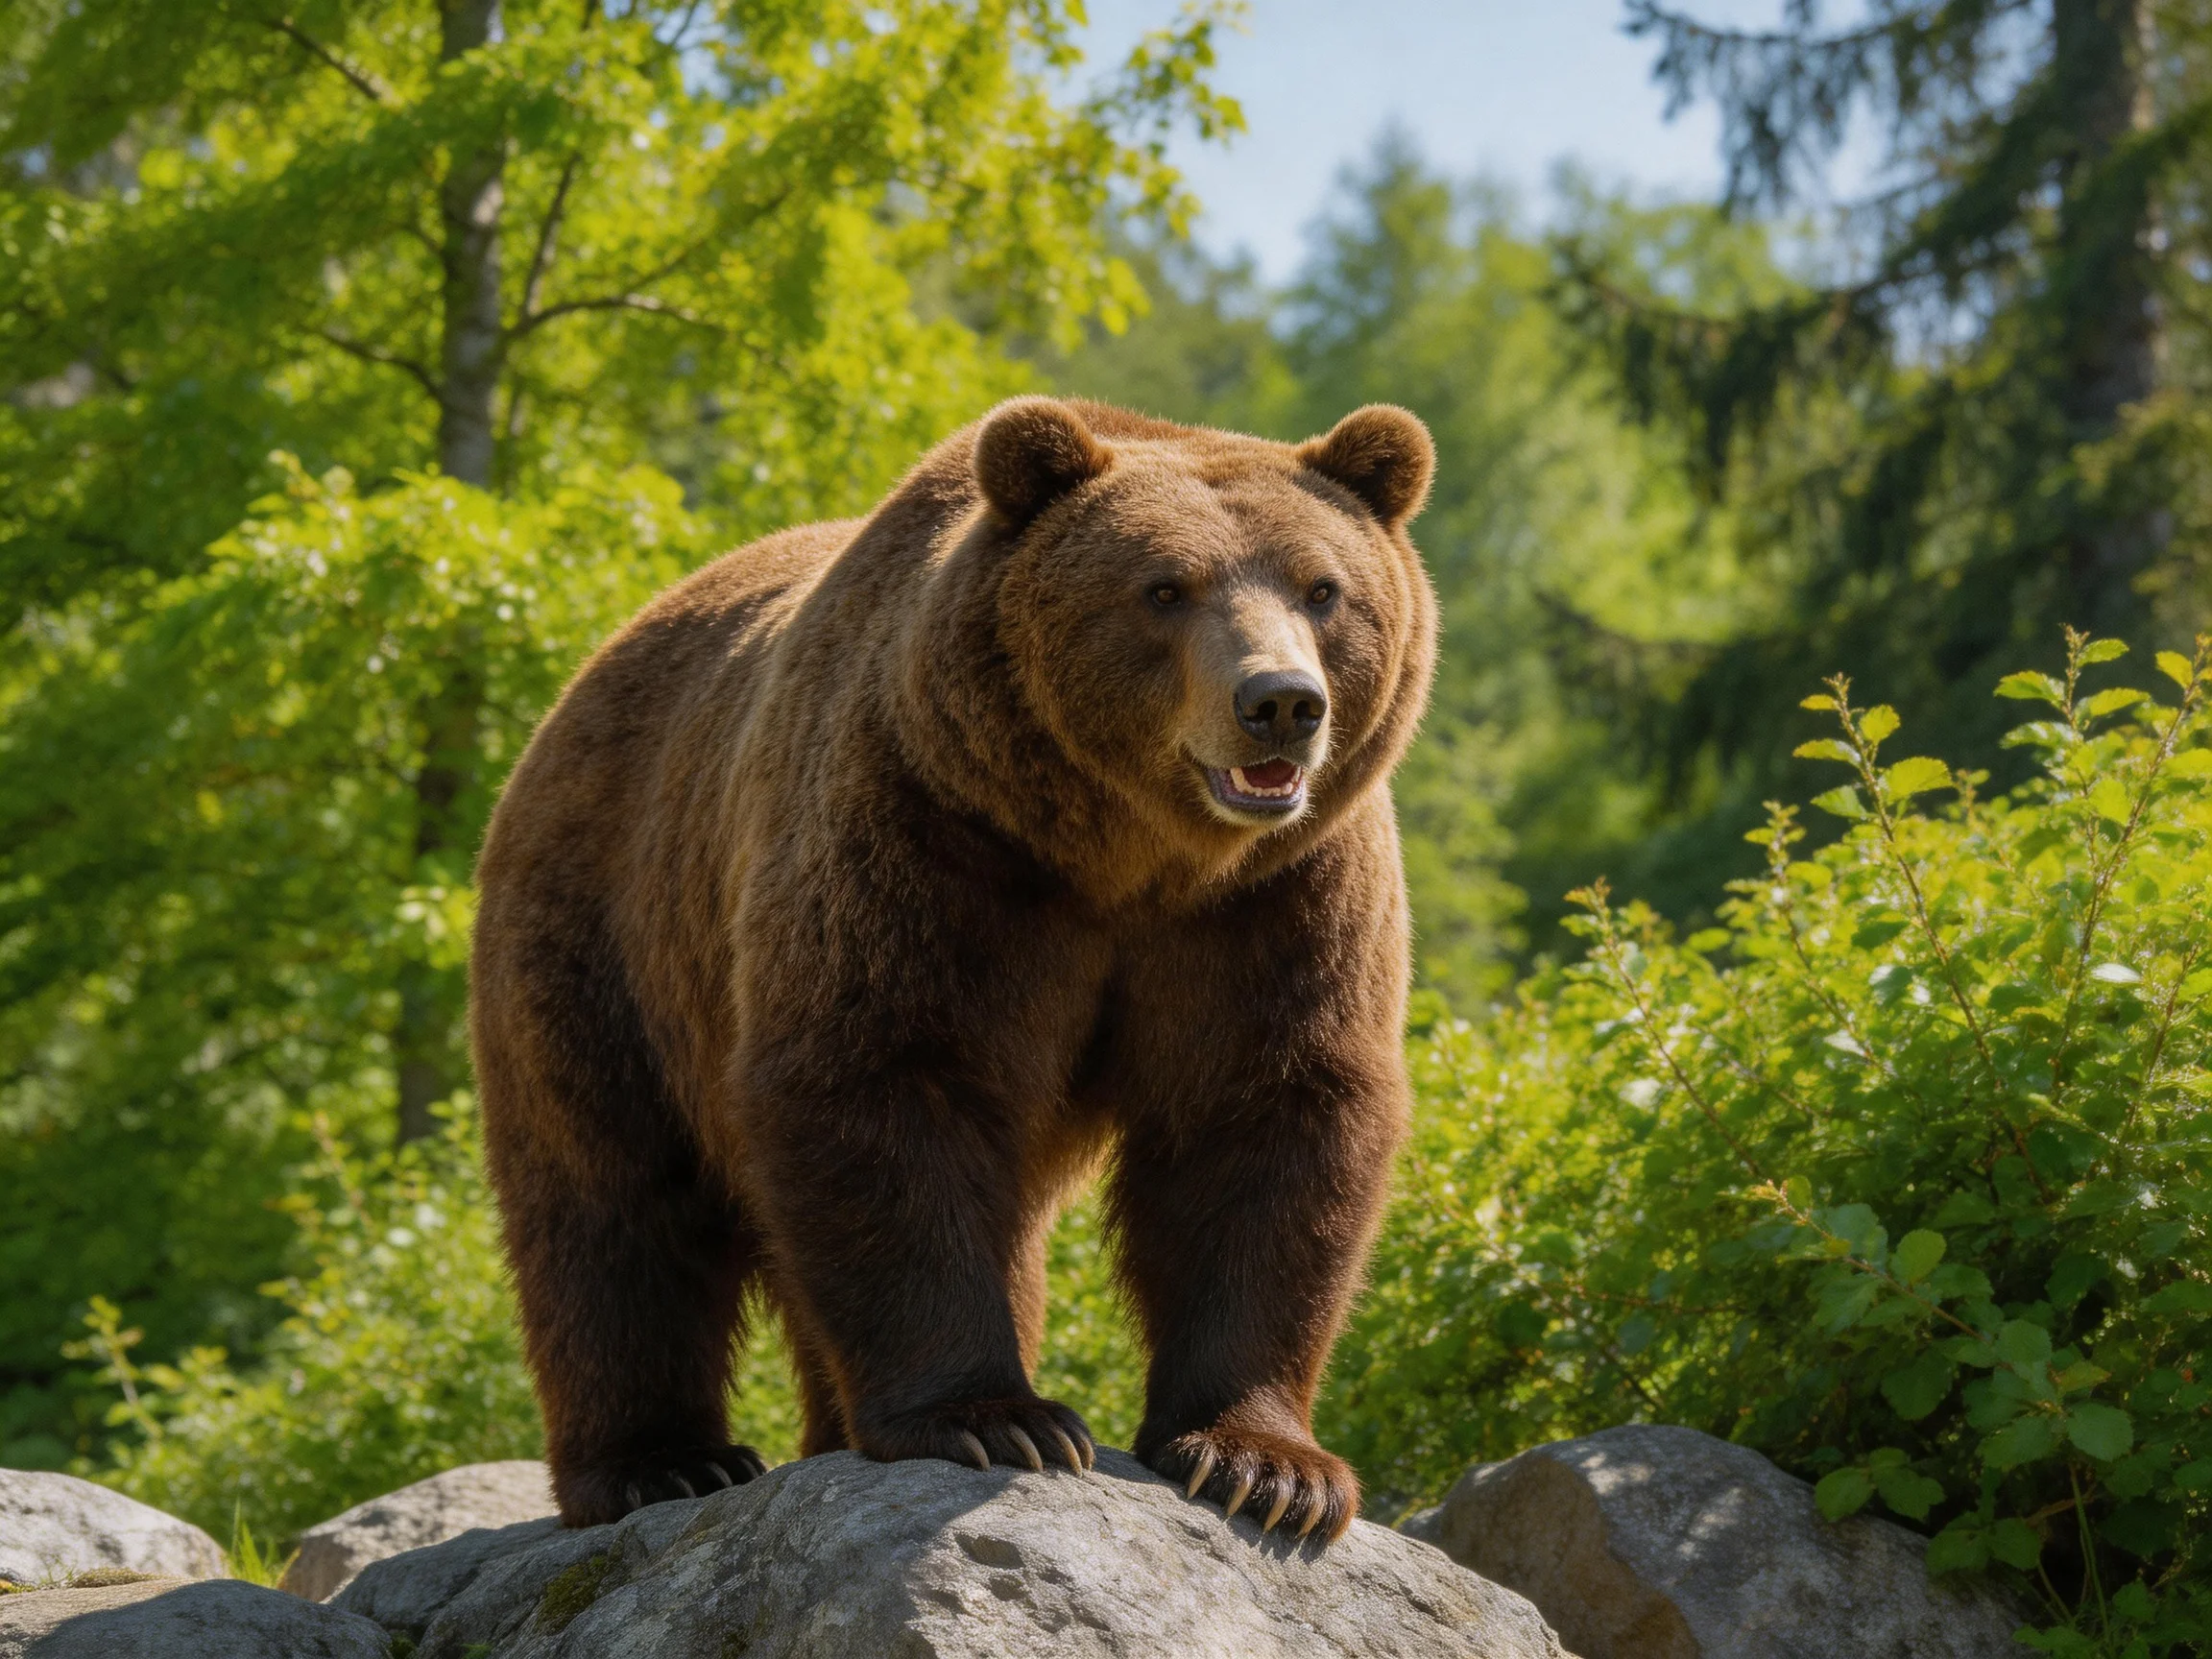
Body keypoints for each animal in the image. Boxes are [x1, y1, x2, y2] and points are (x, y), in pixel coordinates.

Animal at [469, 396, 1437, 1543]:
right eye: (1164, 588)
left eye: (1322, 589)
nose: (1281, 701)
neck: (1129, 860)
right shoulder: (930, 837)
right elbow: (881, 1079)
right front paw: (994, 1420)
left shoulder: (1277, 902)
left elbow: (1266, 1120)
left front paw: (1263, 1467)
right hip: (606, 929)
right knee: (611, 1199)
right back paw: (661, 1465)